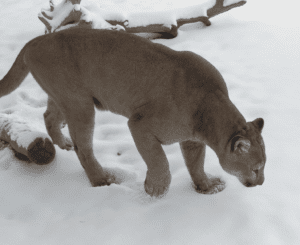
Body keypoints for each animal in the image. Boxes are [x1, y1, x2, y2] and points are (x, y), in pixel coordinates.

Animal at [1, 28, 266, 197]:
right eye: (256, 168)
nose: (261, 183)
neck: (210, 108)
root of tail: (35, 40)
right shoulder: (140, 124)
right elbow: (159, 160)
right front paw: (156, 189)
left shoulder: (192, 140)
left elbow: (196, 164)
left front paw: (206, 186)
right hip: (80, 105)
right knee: (83, 148)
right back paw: (102, 180)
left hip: (64, 98)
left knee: (49, 117)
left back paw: (62, 143)